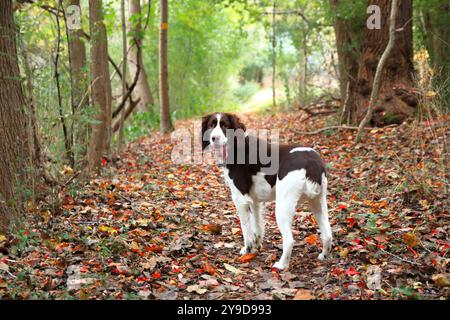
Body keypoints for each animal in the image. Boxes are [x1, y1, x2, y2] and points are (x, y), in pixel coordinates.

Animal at [202, 112, 332, 270]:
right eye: (211, 125)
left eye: (225, 125)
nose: (213, 138)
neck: (236, 146)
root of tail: (312, 162)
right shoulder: (255, 201)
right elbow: (257, 226)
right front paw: (257, 246)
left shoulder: (240, 199)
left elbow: (246, 228)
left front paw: (247, 250)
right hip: (318, 203)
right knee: (328, 235)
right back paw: (323, 256)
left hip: (283, 206)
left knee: (289, 240)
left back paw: (281, 265)